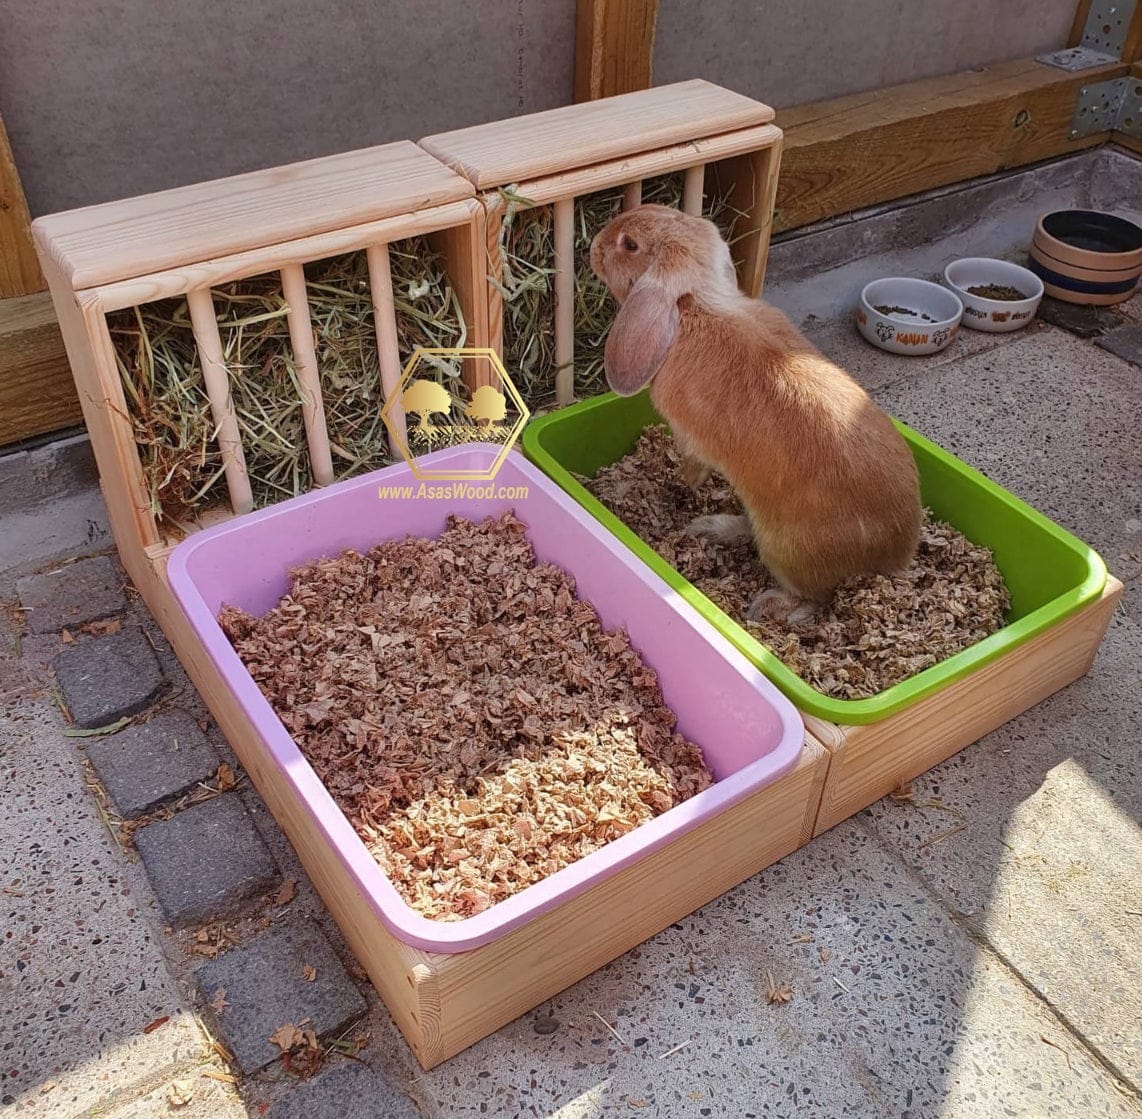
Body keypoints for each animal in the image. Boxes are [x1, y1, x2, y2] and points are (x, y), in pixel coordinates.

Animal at [589, 203, 922, 624]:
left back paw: (768, 606)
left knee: (816, 599)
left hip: (786, 552)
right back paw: (708, 528)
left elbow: (692, 466)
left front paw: (683, 485)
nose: (593, 246)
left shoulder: (690, 439)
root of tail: (897, 555)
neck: (695, 306)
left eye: (629, 245)